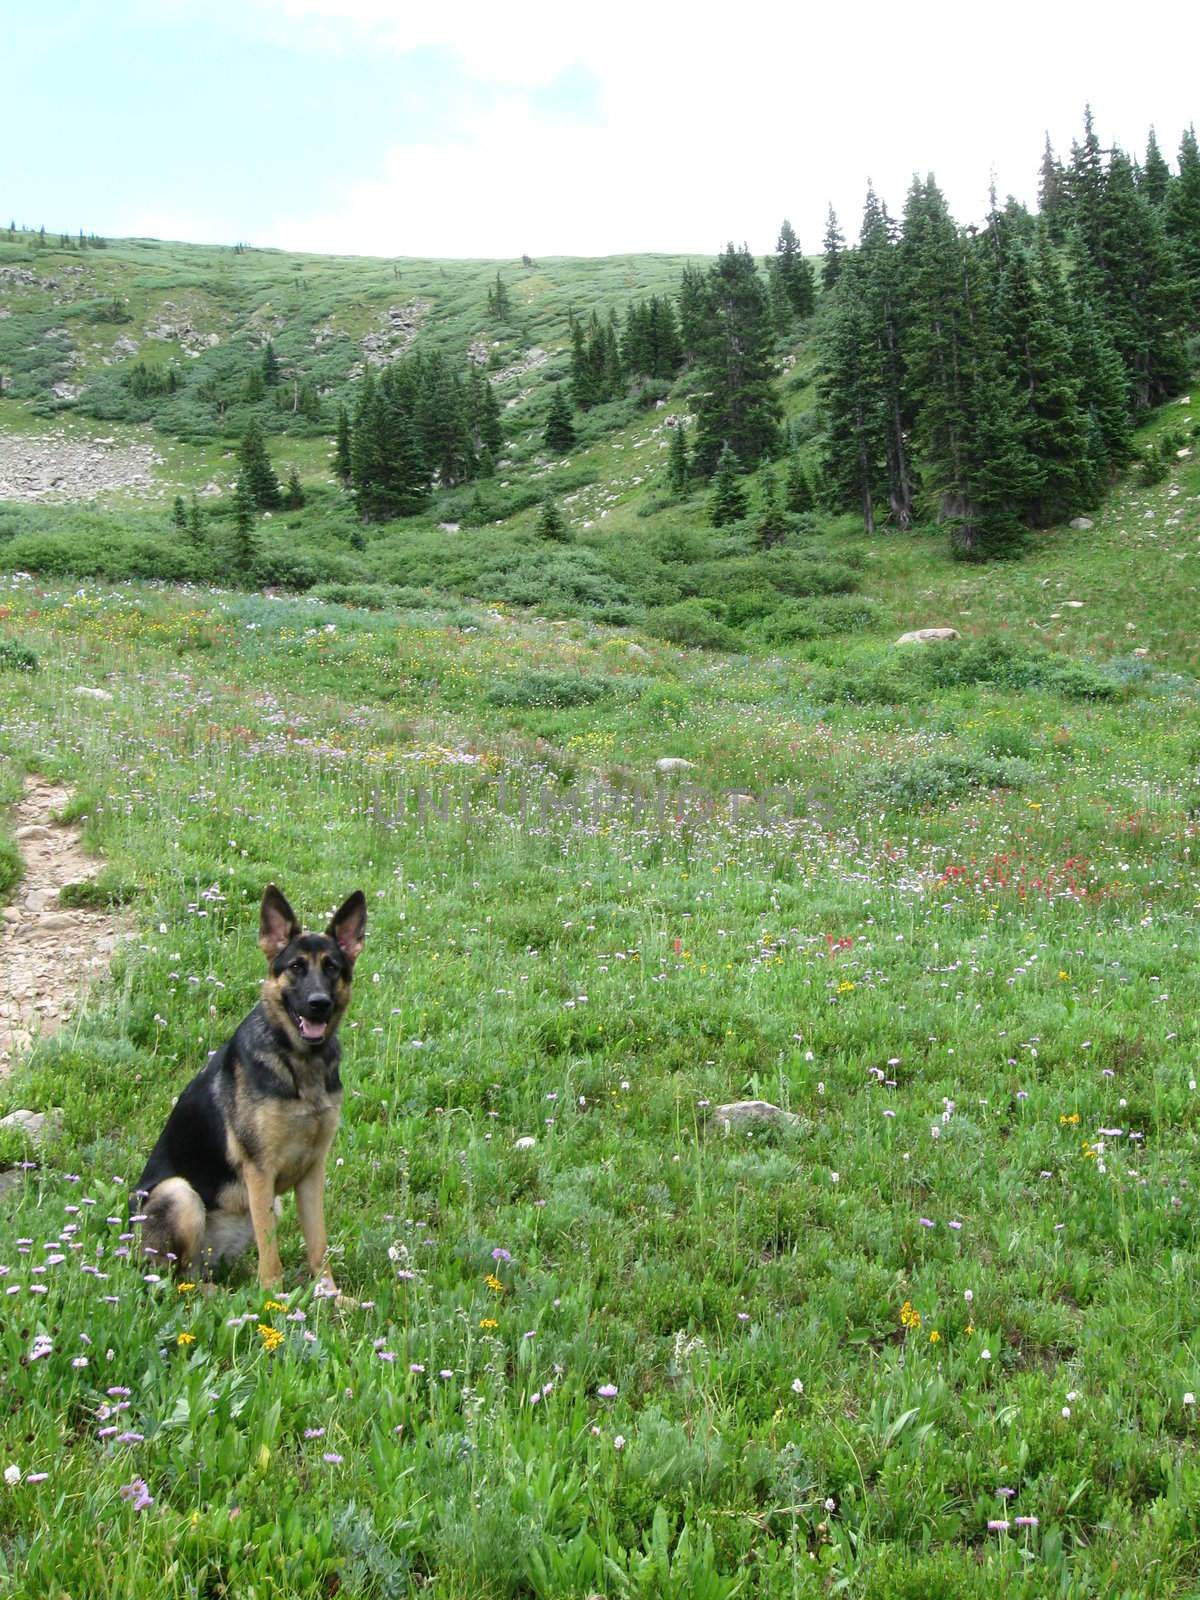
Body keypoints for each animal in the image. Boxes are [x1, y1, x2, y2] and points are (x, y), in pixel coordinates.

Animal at [137, 889, 366, 1299]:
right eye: (296, 967)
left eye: (332, 967)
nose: (319, 1003)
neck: (298, 1062)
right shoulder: (260, 1172)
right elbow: (270, 1253)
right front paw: (275, 1300)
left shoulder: (312, 1172)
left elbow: (319, 1244)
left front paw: (331, 1297)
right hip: (180, 1194)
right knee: (174, 1280)